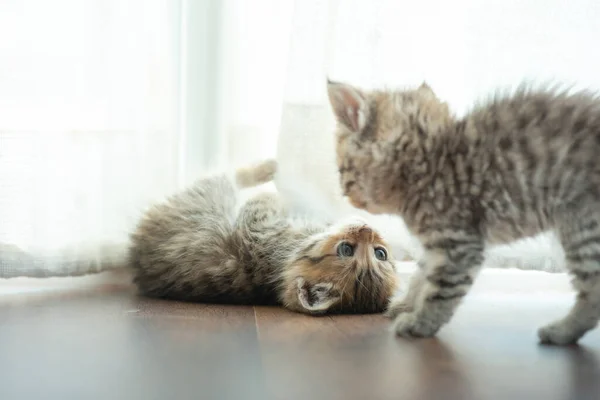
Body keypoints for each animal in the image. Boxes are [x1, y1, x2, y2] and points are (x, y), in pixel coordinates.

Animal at [129, 161, 396, 314]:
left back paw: (266, 168)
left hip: (209, 193)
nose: (367, 230)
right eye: (380, 253)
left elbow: (260, 202)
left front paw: (272, 193)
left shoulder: (256, 227)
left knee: (229, 176)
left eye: (346, 250)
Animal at [328, 79, 600, 344]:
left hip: (582, 227)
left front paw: (421, 322)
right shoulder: (436, 246)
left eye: (342, 171)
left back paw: (562, 331)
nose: (345, 194)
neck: (428, 159)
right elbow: (420, 277)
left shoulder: (459, 243)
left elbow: (441, 290)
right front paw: (406, 305)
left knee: (592, 291)